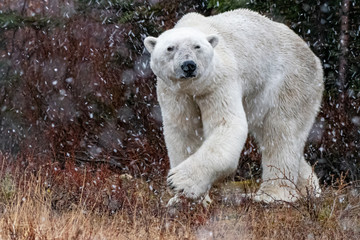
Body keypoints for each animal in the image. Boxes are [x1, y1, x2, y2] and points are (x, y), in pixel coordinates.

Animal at [143, 9, 324, 204]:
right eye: (170, 48)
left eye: (197, 47)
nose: (188, 65)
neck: (194, 88)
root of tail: (314, 57)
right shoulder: (174, 93)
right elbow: (184, 132)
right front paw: (183, 200)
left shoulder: (219, 81)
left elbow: (227, 124)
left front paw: (179, 181)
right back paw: (310, 188)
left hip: (291, 82)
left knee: (281, 131)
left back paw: (273, 195)